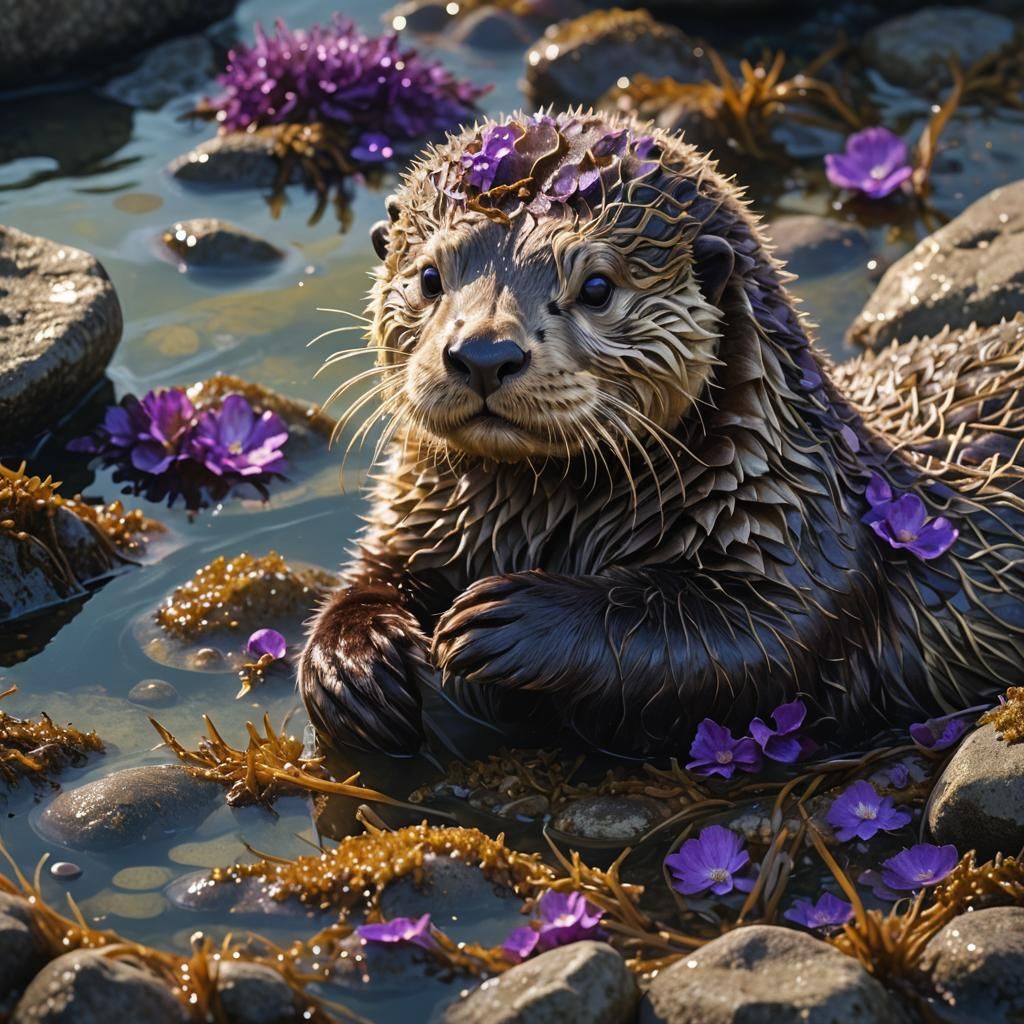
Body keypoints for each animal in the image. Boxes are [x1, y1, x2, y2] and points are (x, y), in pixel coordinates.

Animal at [298, 109, 1024, 758]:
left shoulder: (813, 540)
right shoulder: (416, 515)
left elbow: (747, 639)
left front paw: (511, 619)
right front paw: (351, 660)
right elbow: (369, 573)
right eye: (428, 277)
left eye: (596, 287)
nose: (482, 353)